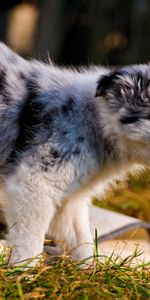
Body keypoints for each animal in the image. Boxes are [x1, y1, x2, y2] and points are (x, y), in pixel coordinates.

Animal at [0, 43, 149, 264]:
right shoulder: (34, 184)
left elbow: (82, 242)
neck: (96, 124)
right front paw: (24, 270)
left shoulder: (70, 200)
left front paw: (91, 271)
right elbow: (30, 241)